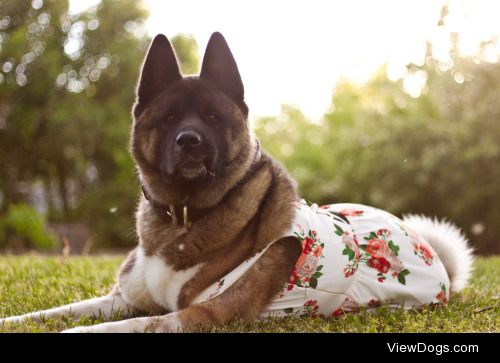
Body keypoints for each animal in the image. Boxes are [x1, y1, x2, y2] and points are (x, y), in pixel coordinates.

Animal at [0, 33, 474, 332]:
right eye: (169, 118)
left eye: (212, 117)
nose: (189, 141)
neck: (183, 216)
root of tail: (435, 257)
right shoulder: (123, 298)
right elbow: (60, 311)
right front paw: (14, 321)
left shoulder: (199, 316)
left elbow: (126, 326)